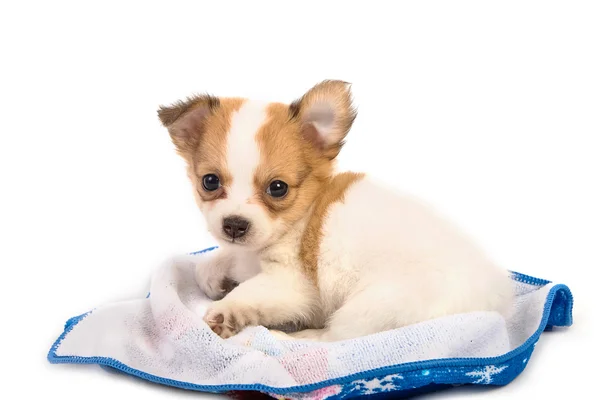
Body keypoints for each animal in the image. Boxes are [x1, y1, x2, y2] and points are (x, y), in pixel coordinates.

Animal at [157, 80, 512, 340]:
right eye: (210, 181)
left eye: (277, 188)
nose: (234, 225)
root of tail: (495, 306)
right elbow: (212, 263)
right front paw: (215, 277)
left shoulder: (293, 286)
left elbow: (250, 291)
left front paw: (226, 310)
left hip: (371, 307)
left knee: (337, 338)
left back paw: (297, 337)